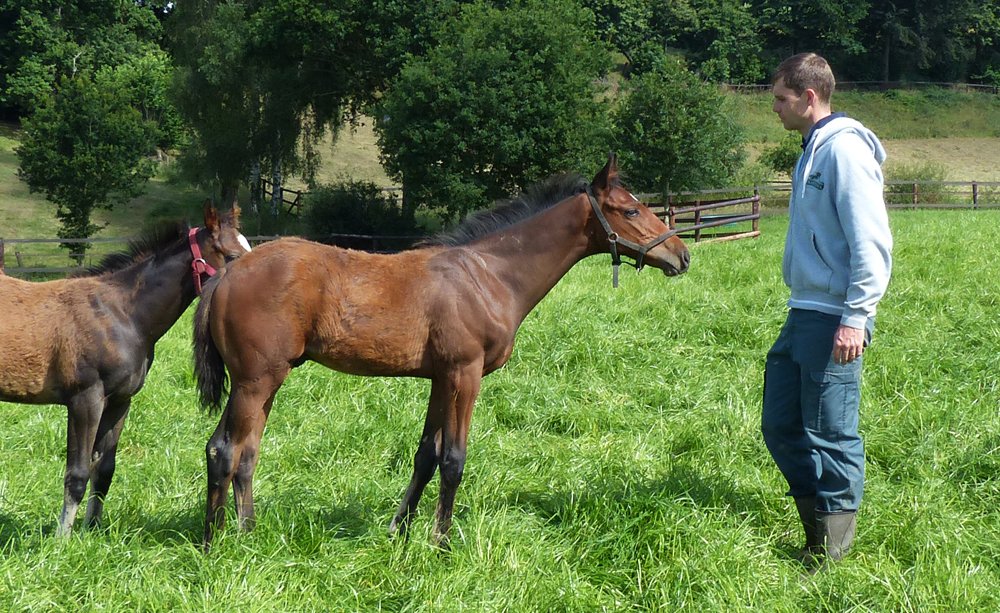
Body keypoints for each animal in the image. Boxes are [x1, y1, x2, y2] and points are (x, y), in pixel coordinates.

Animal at [0, 203, 250, 535]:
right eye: (231, 255)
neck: (122, 315)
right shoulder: (85, 399)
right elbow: (77, 473)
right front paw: (61, 539)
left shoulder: (120, 401)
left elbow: (104, 468)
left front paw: (92, 531)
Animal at [193, 154, 690, 548]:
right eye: (630, 209)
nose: (681, 256)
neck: (488, 276)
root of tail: (229, 273)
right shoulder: (464, 373)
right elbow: (453, 459)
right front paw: (442, 543)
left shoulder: (438, 377)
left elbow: (425, 456)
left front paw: (399, 532)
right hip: (256, 380)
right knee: (224, 450)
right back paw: (214, 544)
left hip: (266, 380)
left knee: (245, 453)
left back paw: (249, 533)